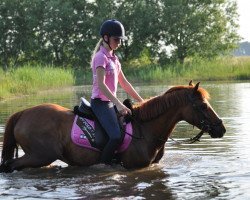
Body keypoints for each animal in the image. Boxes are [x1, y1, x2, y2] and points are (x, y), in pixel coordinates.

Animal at [0, 81, 227, 172]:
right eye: (202, 106)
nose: (221, 128)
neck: (145, 129)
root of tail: (22, 113)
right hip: (40, 155)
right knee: (10, 166)